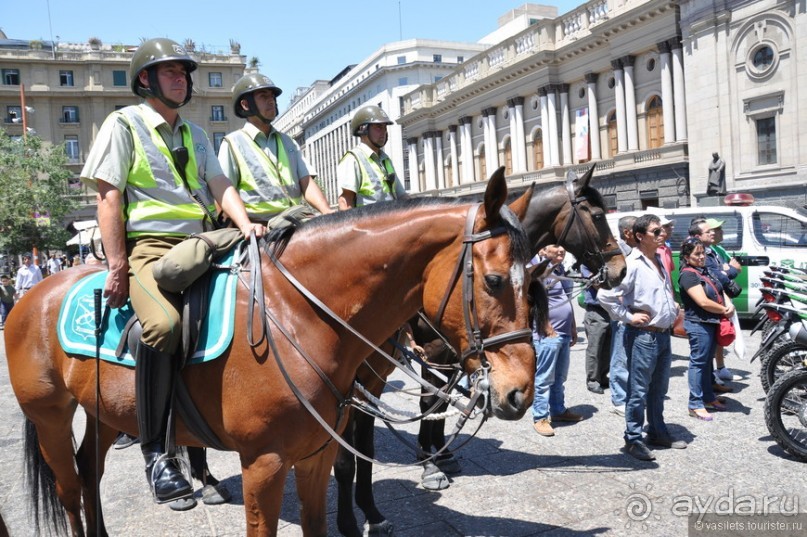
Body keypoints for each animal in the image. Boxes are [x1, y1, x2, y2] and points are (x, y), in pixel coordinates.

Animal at [6, 170, 540, 532]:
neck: (298, 315)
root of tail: (33, 293)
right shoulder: (263, 464)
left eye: (534, 279)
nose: (519, 393)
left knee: (89, 473)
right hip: (50, 416)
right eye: (494, 281)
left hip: (103, 410)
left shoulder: (317, 452)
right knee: (70, 487)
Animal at [332, 164, 628, 536]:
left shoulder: (453, 354)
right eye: (600, 216)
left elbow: (439, 401)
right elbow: (428, 403)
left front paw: (440, 454)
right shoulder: (432, 350)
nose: (621, 269)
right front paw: (429, 462)